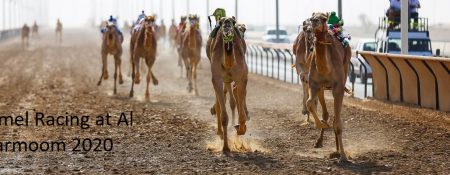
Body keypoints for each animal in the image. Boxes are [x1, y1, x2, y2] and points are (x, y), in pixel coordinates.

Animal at [207, 16, 250, 153]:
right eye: (221, 22)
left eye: (233, 22)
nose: (226, 25)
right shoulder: (217, 79)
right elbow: (224, 116)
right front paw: (225, 147)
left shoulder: (241, 78)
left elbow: (241, 113)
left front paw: (240, 129)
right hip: (223, 80)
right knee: (222, 101)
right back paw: (220, 132)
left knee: (237, 95)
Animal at [308, 12, 354, 163]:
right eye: (311, 18)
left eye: (323, 18)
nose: (314, 21)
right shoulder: (314, 84)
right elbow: (309, 103)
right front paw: (322, 125)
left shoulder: (338, 87)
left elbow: (338, 123)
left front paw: (343, 156)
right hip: (322, 88)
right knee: (326, 114)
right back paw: (321, 141)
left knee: (335, 118)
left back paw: (338, 151)